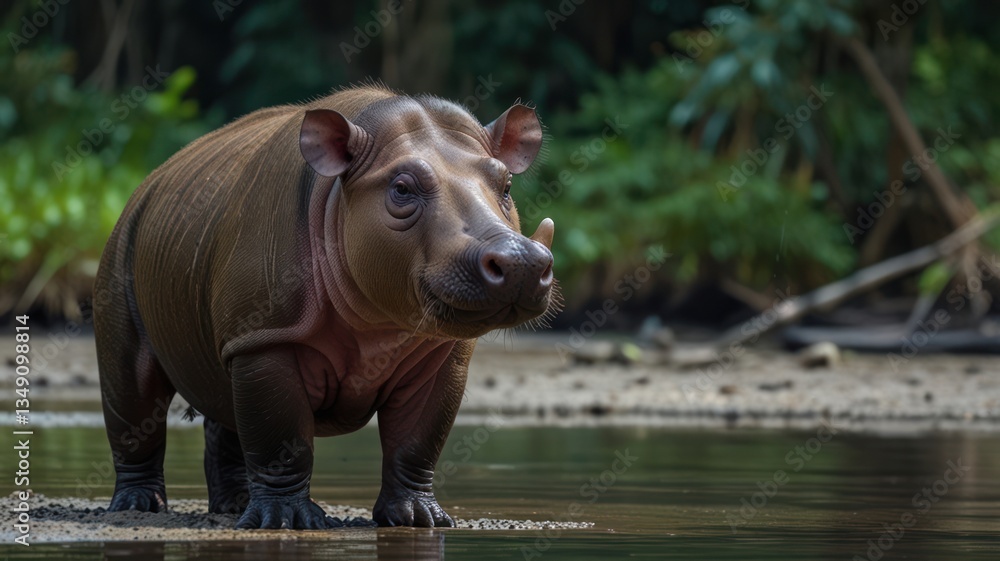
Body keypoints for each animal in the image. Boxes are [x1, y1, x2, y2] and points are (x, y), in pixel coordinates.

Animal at [93, 84, 557, 529]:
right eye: (401, 190)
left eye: (507, 188)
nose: (520, 263)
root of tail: (153, 179)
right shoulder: (267, 336)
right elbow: (281, 436)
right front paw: (286, 522)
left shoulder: (440, 351)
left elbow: (417, 440)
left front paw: (418, 519)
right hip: (122, 242)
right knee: (134, 386)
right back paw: (138, 508)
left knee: (224, 396)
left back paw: (233, 507)